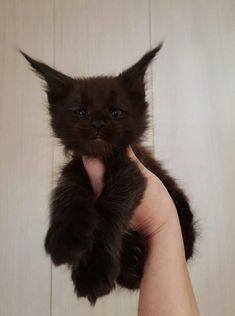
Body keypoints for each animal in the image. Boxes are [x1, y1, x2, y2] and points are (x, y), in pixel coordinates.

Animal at [21, 43, 196, 304]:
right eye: (81, 112)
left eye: (116, 113)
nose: (97, 123)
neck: (101, 159)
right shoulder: (78, 164)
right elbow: (68, 186)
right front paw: (66, 235)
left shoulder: (132, 170)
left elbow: (108, 209)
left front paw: (93, 272)